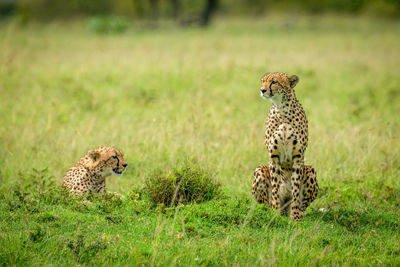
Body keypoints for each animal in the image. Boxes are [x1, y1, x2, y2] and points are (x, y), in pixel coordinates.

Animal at [253, 72, 318, 223]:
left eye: (274, 82)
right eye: (263, 81)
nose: (262, 90)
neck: (281, 108)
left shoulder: (298, 157)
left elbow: (295, 190)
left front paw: (295, 218)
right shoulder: (273, 156)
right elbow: (275, 188)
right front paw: (274, 214)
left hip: (311, 170)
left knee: (302, 205)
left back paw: (298, 213)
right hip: (260, 170)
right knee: (265, 203)